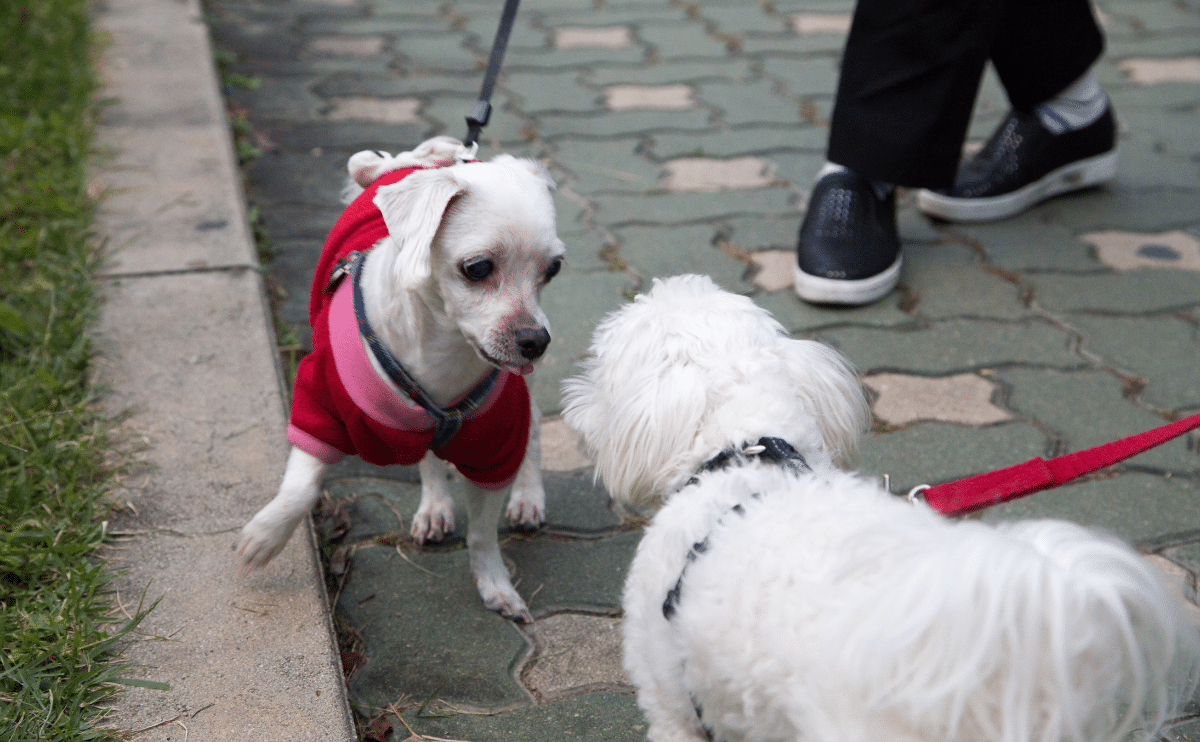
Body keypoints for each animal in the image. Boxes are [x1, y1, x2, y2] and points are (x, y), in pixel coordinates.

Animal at [241, 137, 568, 619]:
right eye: (477, 268)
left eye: (553, 269)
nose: (536, 340)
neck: (441, 356)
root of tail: (411, 162)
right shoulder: (320, 407)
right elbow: (302, 486)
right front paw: (267, 534)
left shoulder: (493, 443)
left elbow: (482, 534)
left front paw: (495, 584)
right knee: (429, 455)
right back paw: (435, 505)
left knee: (535, 434)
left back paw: (528, 496)